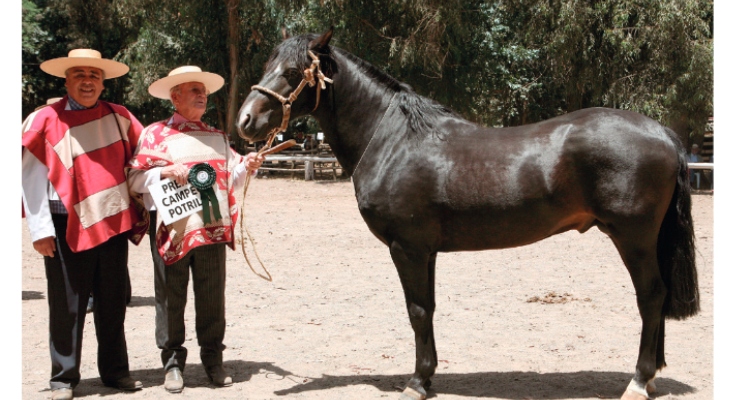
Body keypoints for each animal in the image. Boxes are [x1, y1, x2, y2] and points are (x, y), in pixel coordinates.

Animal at [238, 28, 704, 400]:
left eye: (293, 71)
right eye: (269, 63)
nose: (245, 120)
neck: (392, 140)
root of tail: (663, 133)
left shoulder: (406, 248)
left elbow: (417, 310)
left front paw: (417, 383)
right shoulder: (425, 251)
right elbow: (428, 308)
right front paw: (428, 377)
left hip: (633, 238)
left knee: (651, 296)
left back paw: (639, 381)